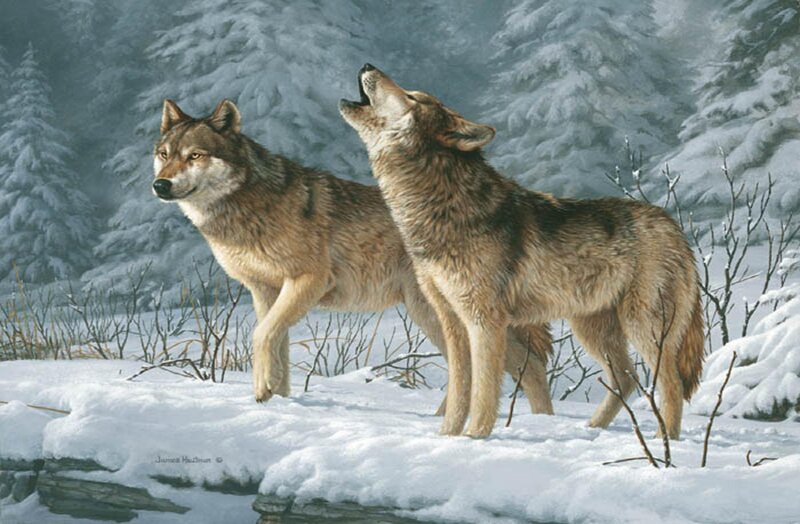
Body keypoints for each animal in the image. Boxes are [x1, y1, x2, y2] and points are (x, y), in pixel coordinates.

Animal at [152, 99, 555, 416]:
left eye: (195, 155)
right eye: (164, 155)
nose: (160, 185)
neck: (247, 209)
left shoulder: (308, 281)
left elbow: (261, 336)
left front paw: (265, 391)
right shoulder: (265, 291)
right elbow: (277, 346)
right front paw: (275, 397)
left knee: (528, 367)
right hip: (433, 315)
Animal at [339, 64, 704, 439]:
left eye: (413, 97)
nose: (367, 66)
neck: (442, 209)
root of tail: (673, 225)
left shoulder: (485, 323)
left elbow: (484, 391)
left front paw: (475, 438)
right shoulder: (452, 322)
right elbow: (458, 393)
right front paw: (447, 438)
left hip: (642, 327)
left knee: (671, 384)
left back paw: (664, 443)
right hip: (592, 329)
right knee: (627, 378)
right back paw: (592, 429)